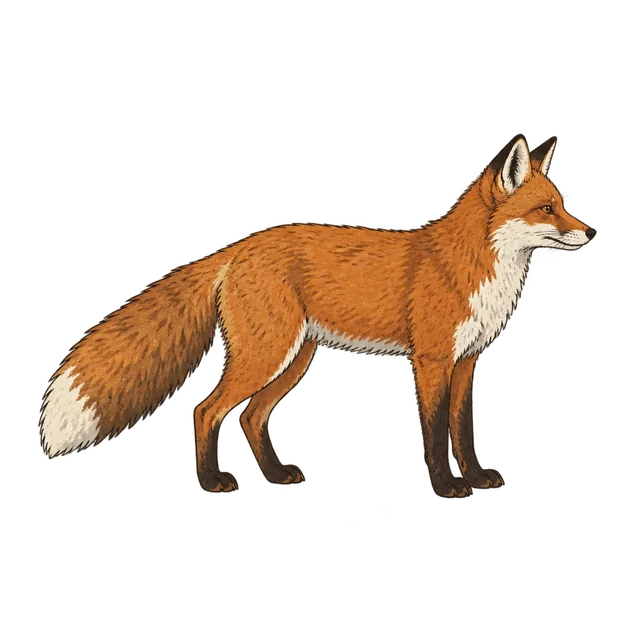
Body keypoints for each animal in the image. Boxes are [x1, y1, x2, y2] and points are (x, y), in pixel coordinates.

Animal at [37, 133, 596, 499]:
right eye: (546, 209)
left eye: (562, 203)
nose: (589, 233)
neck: (474, 266)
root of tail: (238, 249)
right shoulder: (433, 362)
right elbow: (436, 433)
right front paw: (446, 486)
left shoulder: (467, 363)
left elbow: (462, 429)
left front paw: (477, 479)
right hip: (267, 356)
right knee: (205, 411)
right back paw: (215, 482)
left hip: (295, 359)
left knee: (251, 417)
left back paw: (276, 477)